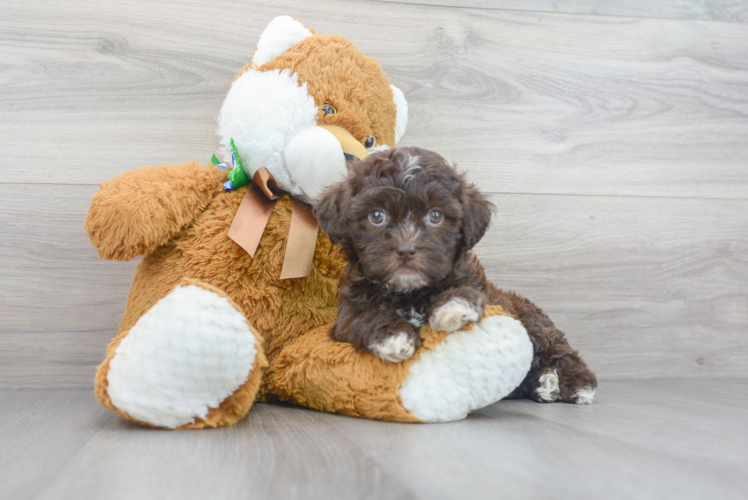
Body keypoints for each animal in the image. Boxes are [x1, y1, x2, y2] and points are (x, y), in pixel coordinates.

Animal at [312, 146, 600, 404]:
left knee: (559, 350)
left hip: (534, 323)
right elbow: (367, 317)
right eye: (376, 216)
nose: (406, 250)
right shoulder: (347, 313)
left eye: (435, 216)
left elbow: (466, 292)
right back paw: (542, 384)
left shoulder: (477, 285)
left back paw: (573, 384)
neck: (410, 291)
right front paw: (394, 337)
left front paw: (452, 308)